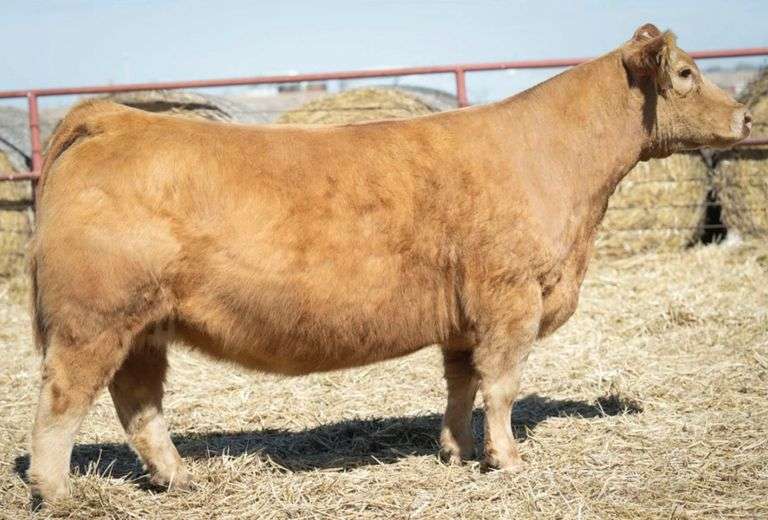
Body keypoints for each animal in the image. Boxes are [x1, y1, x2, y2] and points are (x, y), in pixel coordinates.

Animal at [27, 24, 750, 501]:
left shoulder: (463, 316)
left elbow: (462, 386)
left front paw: (457, 451)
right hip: (93, 320)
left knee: (138, 403)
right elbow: (502, 386)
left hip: (143, 326)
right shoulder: (510, 298)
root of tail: (114, 116)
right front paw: (508, 461)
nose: (746, 117)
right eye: (685, 73)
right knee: (62, 403)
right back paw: (58, 495)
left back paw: (178, 478)